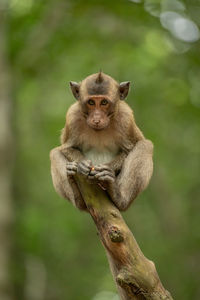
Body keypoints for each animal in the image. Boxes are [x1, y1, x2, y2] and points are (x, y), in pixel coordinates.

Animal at [50, 72, 153, 211]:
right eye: (91, 102)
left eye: (104, 102)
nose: (97, 119)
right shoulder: (72, 116)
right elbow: (66, 148)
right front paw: (82, 165)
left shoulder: (126, 118)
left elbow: (131, 148)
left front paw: (105, 170)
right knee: (54, 153)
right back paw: (77, 196)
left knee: (145, 146)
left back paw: (117, 196)